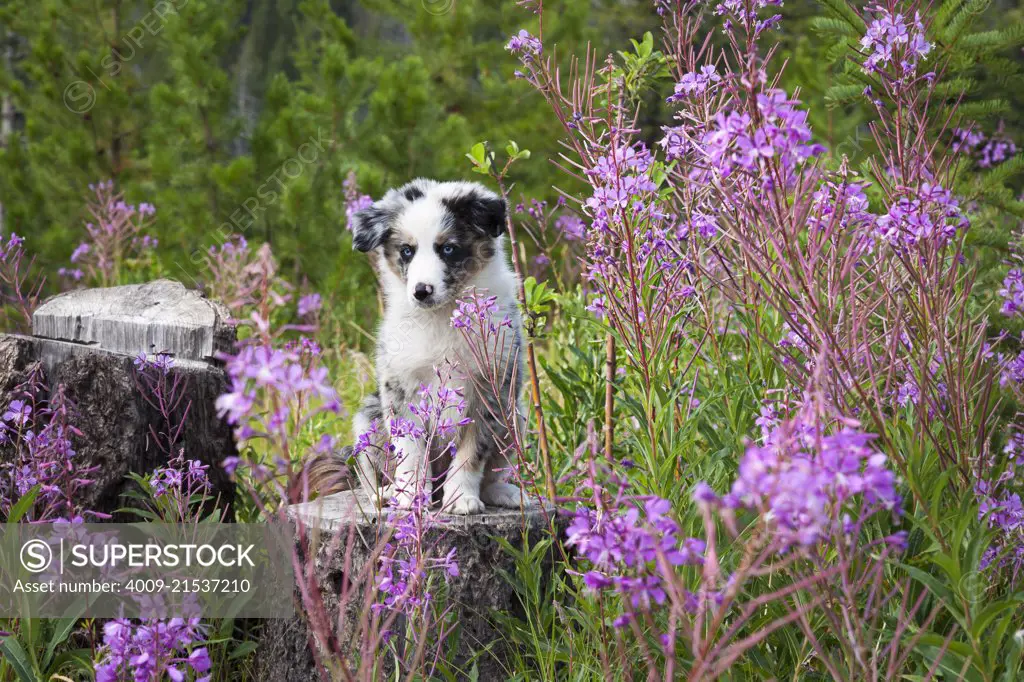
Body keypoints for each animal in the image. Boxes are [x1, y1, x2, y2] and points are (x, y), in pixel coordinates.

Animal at [335, 178, 532, 512]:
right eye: (407, 251)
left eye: (448, 249)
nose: (421, 291)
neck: (442, 315)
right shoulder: (401, 386)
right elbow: (411, 451)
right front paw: (411, 495)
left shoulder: (490, 388)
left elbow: (471, 453)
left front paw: (461, 498)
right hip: (367, 421)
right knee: (371, 473)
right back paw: (388, 494)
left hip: (515, 416)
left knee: (495, 471)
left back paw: (504, 493)